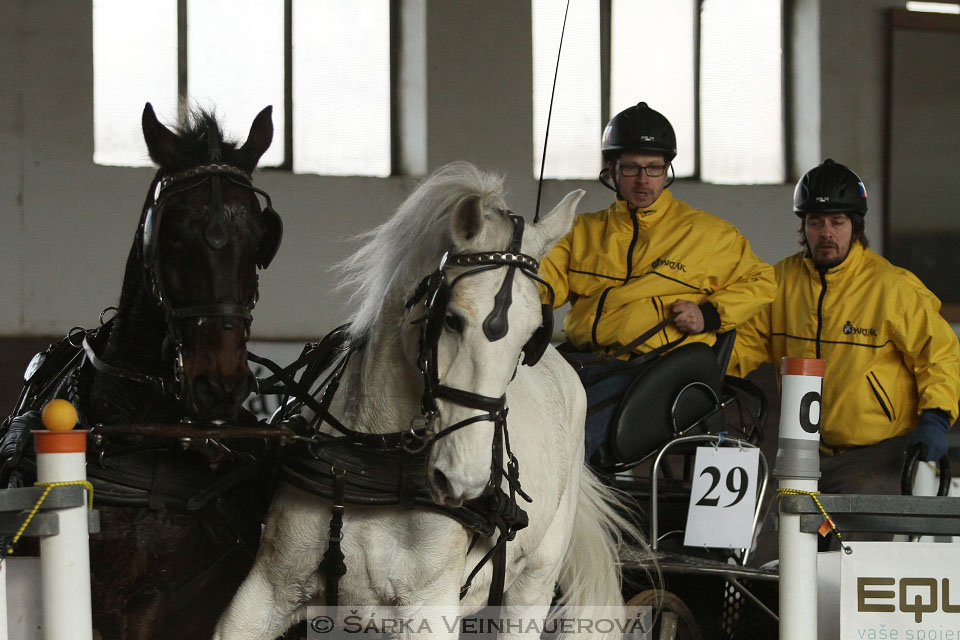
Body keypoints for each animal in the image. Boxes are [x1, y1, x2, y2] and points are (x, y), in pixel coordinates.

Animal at [214, 164, 640, 640]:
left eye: (531, 337)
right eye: (451, 319)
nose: (464, 480)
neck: (378, 462)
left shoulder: (430, 610)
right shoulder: (265, 593)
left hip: (534, 582)